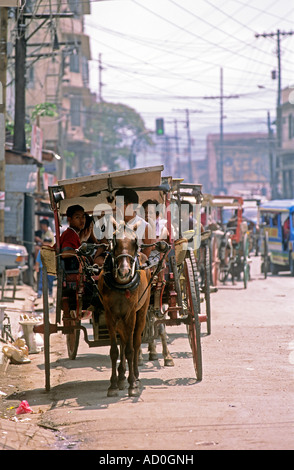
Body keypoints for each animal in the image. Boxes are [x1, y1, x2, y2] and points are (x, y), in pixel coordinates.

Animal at [97, 224, 150, 396]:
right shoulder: (110, 315)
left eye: (135, 242)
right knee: (124, 340)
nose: (124, 272)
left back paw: (136, 376)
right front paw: (113, 384)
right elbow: (115, 350)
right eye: (114, 242)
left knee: (136, 342)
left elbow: (130, 349)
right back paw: (121, 377)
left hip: (141, 312)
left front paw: (133, 384)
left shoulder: (131, 314)